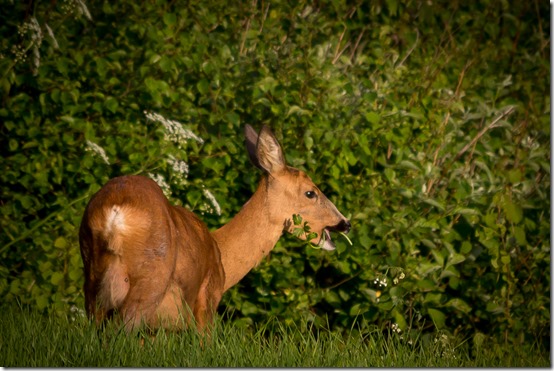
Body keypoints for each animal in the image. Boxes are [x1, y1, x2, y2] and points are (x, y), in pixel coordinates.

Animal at [78, 124, 350, 332]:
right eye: (311, 193)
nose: (345, 223)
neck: (221, 253)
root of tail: (116, 211)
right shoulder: (206, 302)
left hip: (92, 278)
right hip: (151, 277)